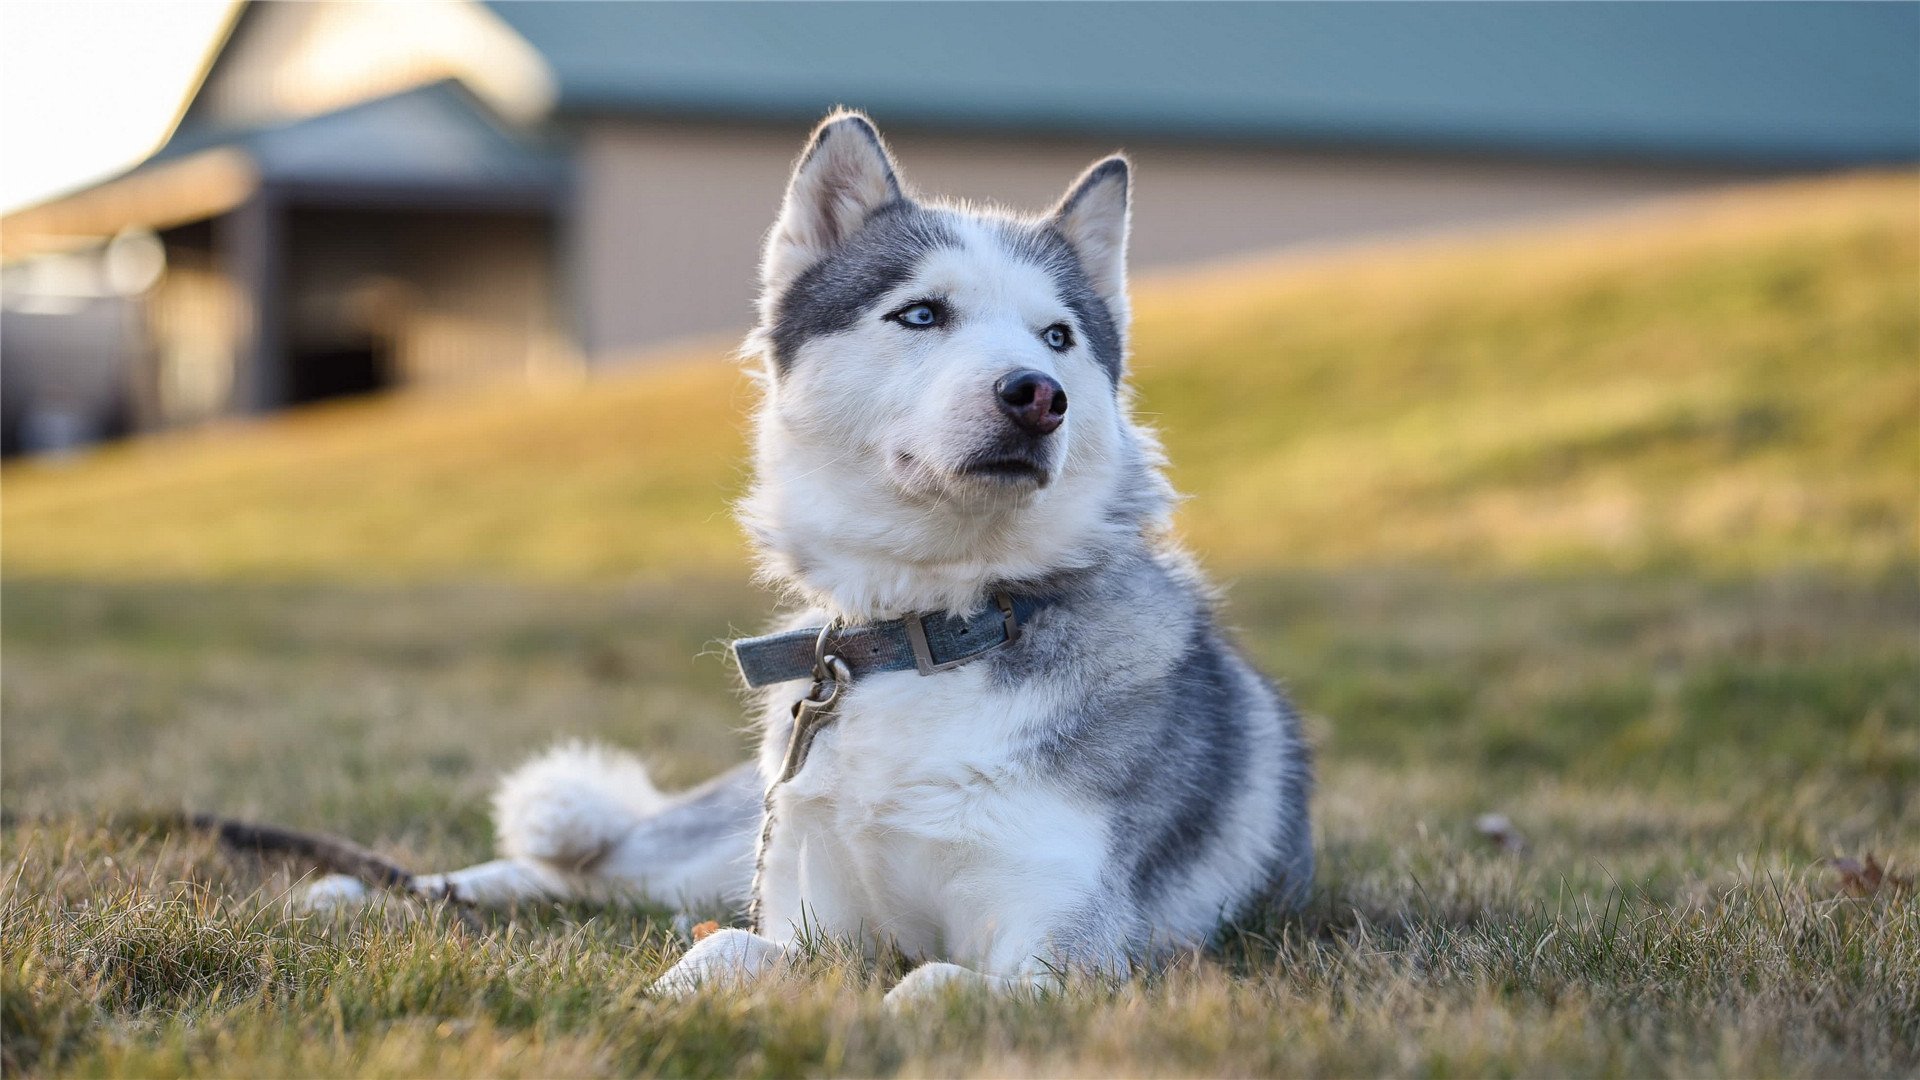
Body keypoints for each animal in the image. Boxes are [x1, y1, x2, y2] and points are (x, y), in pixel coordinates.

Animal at [307, 111, 1313, 999]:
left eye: (1058, 337)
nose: (1038, 395)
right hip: (713, 848)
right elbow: (718, 953)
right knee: (580, 871)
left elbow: (927, 985)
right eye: (921, 314)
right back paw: (369, 893)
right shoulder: (804, 917)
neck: (927, 630)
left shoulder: (1069, 957)